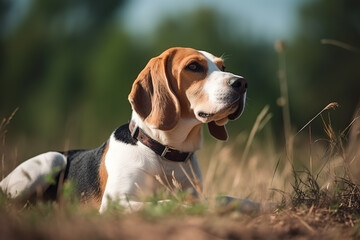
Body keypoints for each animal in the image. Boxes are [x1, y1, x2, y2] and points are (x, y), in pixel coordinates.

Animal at [0, 47, 246, 212]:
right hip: (51, 159)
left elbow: (229, 198)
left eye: (223, 67)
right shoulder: (116, 202)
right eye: (193, 66)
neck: (165, 152)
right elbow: (168, 202)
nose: (242, 83)